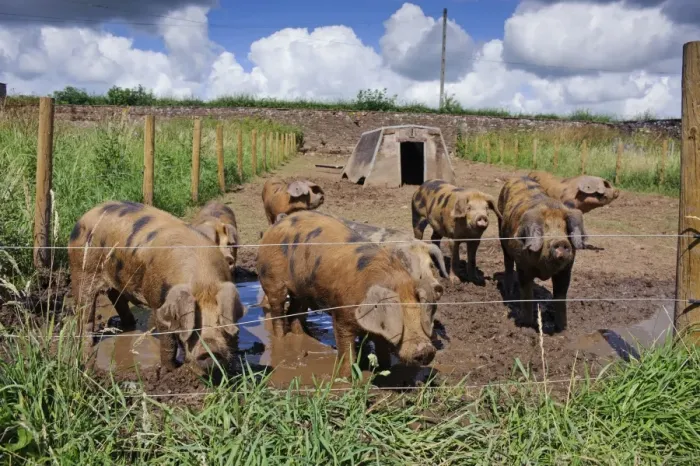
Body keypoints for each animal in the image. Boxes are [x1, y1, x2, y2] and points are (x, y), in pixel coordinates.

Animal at [68, 200, 247, 374]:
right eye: (193, 323)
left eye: (220, 322)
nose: (210, 352)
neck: (203, 283)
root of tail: (84, 217)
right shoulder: (158, 301)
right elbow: (168, 342)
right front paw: (172, 369)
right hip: (81, 271)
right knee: (85, 313)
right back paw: (87, 345)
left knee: (117, 299)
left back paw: (129, 325)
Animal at [256, 210, 437, 378]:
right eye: (398, 316)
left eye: (418, 312)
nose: (427, 350)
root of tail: (276, 224)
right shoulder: (341, 312)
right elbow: (346, 349)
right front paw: (344, 378)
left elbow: (381, 348)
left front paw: (384, 369)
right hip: (271, 280)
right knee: (278, 312)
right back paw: (281, 339)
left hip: (301, 291)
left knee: (295, 312)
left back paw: (303, 337)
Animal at [497, 176, 587, 332]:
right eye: (544, 228)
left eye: (565, 229)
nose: (560, 241)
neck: (545, 269)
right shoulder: (523, 266)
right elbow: (527, 294)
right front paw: (526, 325)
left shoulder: (566, 269)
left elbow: (560, 296)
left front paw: (562, 328)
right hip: (500, 230)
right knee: (507, 262)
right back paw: (509, 292)